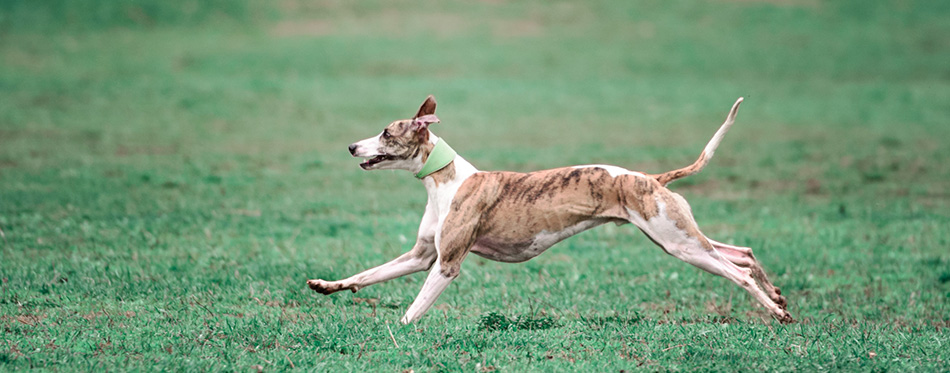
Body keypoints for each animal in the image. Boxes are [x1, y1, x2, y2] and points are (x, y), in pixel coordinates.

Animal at [308, 95, 792, 322]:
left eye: (387, 133)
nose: (351, 146)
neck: (444, 180)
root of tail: (653, 178)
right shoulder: (421, 256)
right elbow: (367, 275)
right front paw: (326, 285)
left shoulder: (446, 264)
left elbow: (413, 310)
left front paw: (397, 333)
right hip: (677, 237)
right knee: (742, 253)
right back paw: (777, 295)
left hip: (677, 242)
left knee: (737, 272)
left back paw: (776, 312)